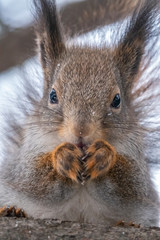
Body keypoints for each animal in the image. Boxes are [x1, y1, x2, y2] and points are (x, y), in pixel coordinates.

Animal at [0, 0, 159, 225]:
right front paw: (63, 157)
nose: (81, 132)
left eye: (117, 100)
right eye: (53, 96)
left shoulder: (139, 176)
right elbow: (33, 177)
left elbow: (131, 183)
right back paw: (12, 211)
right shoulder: (23, 164)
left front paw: (103, 155)